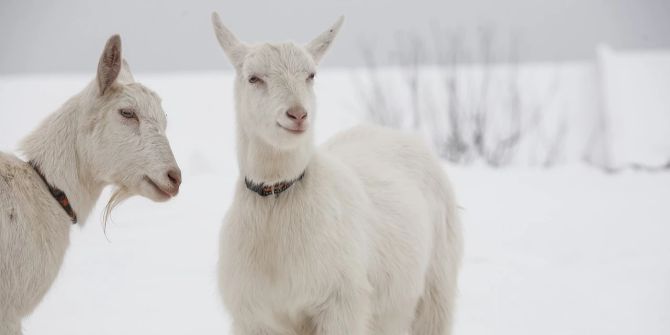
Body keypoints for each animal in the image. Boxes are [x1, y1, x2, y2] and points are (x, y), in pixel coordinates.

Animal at [213, 13, 464, 335]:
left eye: (311, 75)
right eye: (253, 78)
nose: (298, 114)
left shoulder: (341, 305)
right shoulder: (254, 316)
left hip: (436, 286)